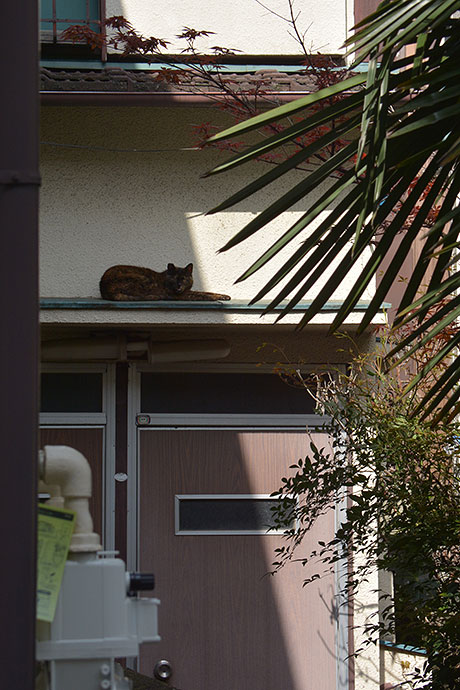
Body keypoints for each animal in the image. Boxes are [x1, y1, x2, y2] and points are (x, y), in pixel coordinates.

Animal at [99, 262, 230, 300]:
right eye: (175, 278)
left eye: (183, 278)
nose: (179, 286)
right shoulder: (184, 295)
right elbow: (205, 295)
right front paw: (220, 297)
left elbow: (207, 292)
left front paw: (225, 295)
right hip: (145, 279)